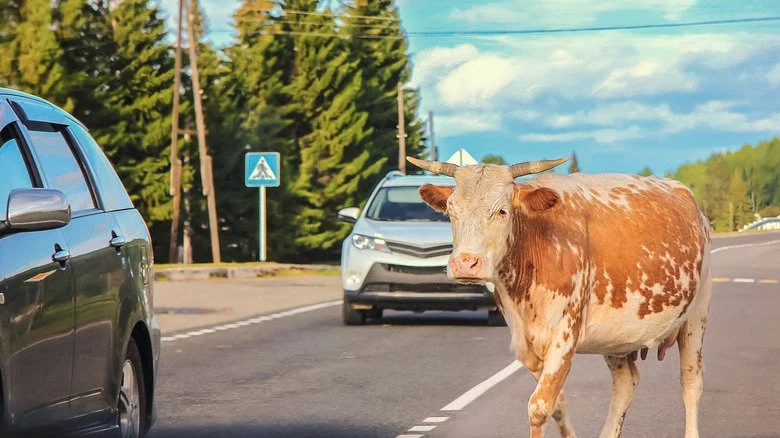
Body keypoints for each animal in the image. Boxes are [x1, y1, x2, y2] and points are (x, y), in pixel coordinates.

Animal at [407, 156, 711, 438]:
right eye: (451, 211)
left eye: (502, 211)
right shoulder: (526, 344)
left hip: (696, 316)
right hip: (617, 336)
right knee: (626, 383)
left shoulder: (563, 337)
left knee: (690, 382)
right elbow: (557, 404)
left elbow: (539, 406)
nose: (465, 264)